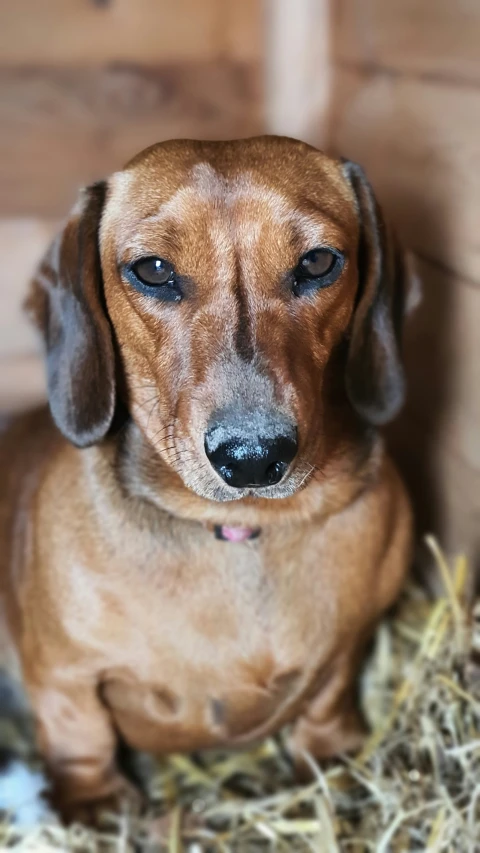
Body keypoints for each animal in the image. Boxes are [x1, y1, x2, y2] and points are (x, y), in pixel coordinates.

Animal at [0, 136, 412, 816]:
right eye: (153, 271)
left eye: (318, 262)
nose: (253, 457)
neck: (237, 530)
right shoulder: (64, 674)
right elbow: (79, 731)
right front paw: (96, 802)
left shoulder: (350, 643)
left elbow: (328, 695)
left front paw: (328, 756)